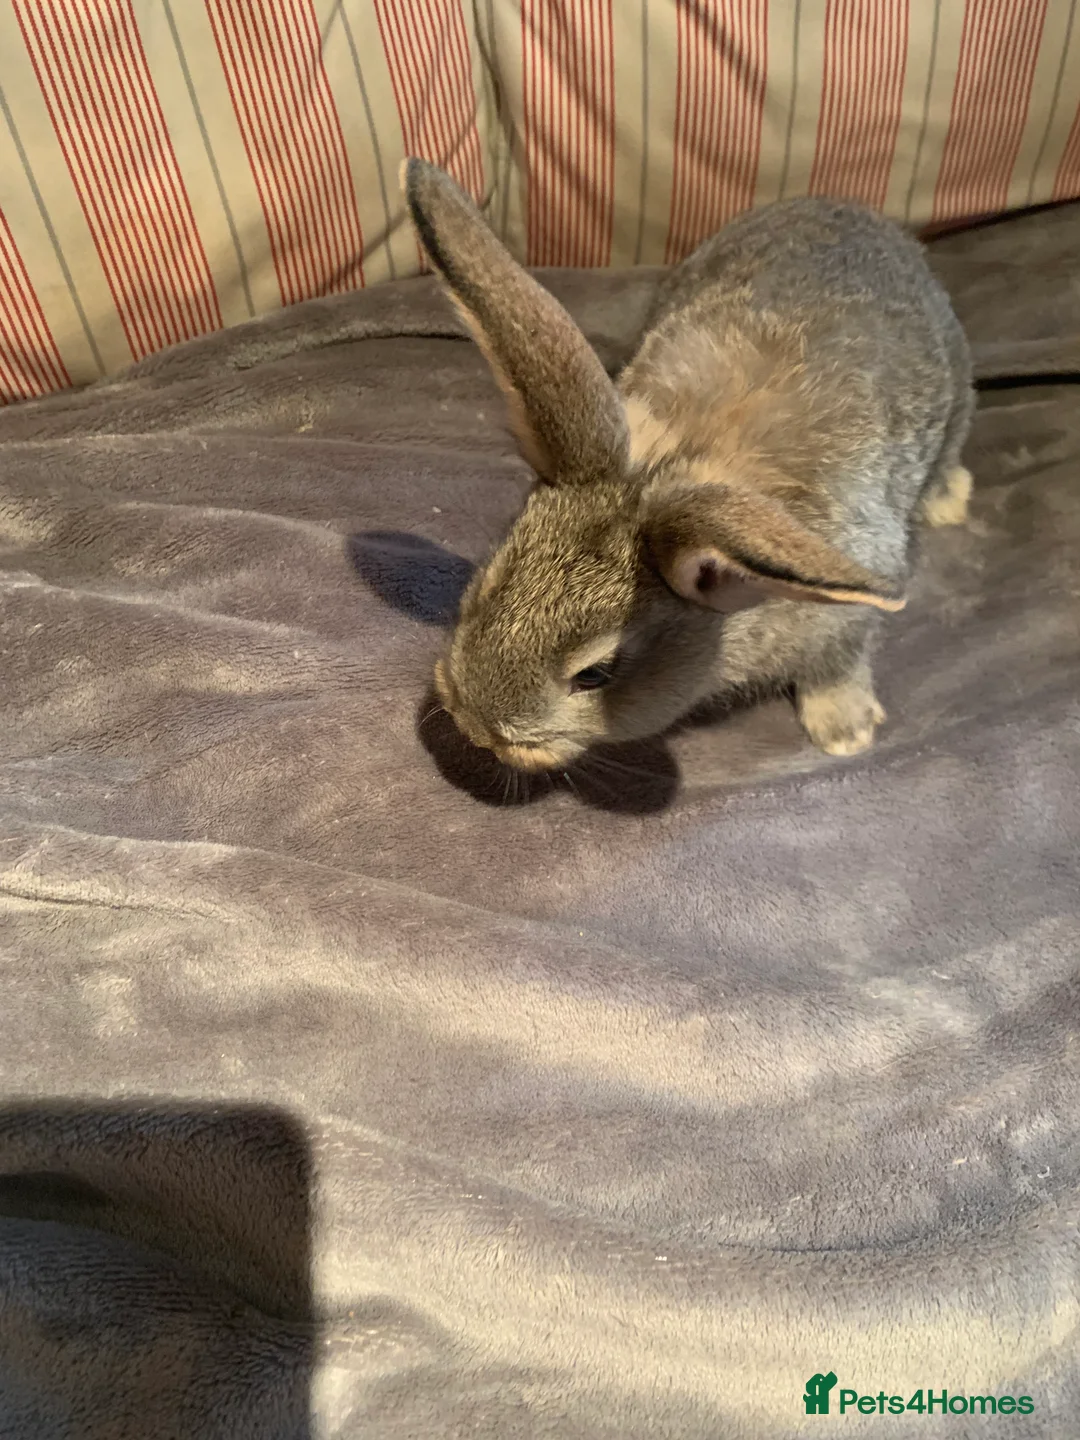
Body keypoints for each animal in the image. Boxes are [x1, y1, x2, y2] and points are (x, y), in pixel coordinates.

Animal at [401, 158, 974, 773]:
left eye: (596, 674)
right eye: (490, 583)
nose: (474, 726)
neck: (674, 465)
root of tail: (843, 207)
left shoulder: (849, 609)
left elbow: (839, 659)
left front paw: (846, 731)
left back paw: (950, 501)